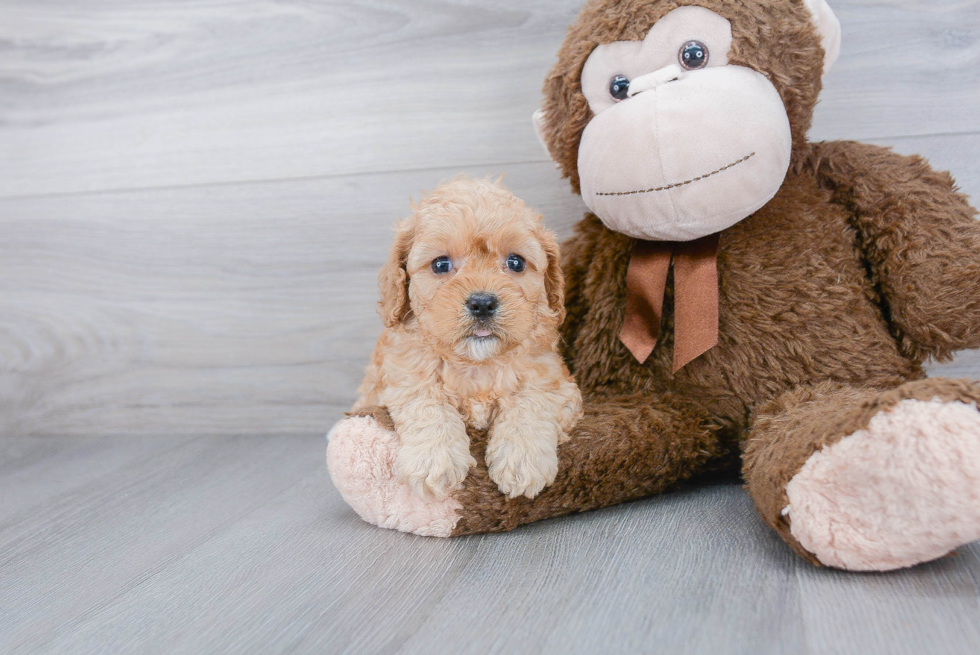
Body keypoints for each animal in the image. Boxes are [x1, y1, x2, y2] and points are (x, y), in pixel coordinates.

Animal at [352, 177, 580, 500]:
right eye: (440, 264)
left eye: (515, 262)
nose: (482, 303)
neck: (476, 363)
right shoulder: (402, 377)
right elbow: (427, 403)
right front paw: (435, 460)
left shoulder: (555, 381)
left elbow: (532, 402)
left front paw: (522, 461)